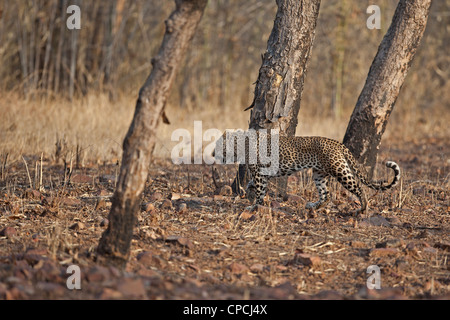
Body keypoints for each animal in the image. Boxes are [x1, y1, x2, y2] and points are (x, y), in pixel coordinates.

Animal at [214, 128, 400, 215]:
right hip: (319, 174)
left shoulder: (260, 173)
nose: (213, 153)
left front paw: (253, 206)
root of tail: (337, 143)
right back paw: (313, 206)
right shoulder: (263, 174)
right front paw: (248, 190)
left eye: (218, 144)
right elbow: (255, 186)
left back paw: (362, 208)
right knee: (326, 195)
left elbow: (260, 192)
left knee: (359, 188)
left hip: (339, 170)